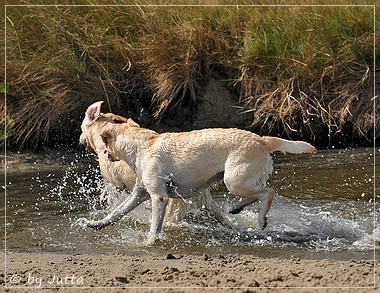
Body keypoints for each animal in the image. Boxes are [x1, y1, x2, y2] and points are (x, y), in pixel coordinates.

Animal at [84, 105, 316, 242]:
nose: (106, 156)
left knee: (269, 192)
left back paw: (260, 220)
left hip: (234, 180)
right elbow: (116, 212)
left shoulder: (159, 197)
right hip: (236, 181)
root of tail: (262, 139)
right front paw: (96, 224)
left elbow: (154, 225)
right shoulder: (139, 193)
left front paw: (150, 242)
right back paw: (237, 208)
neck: (141, 144)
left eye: (105, 146)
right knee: (256, 195)